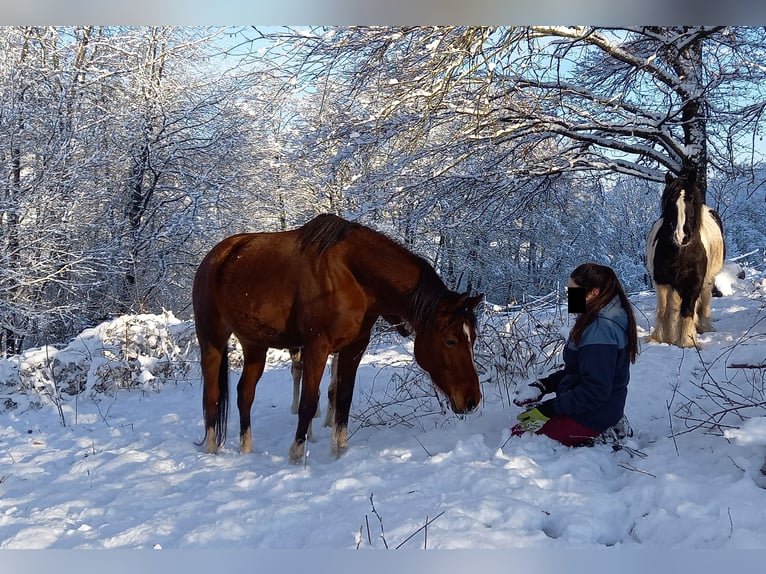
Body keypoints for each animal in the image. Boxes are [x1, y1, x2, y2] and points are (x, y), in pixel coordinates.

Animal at [192, 213, 483, 463]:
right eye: (450, 340)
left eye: (473, 339)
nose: (472, 401)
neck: (350, 275)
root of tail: (215, 257)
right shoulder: (317, 347)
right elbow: (309, 402)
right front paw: (296, 455)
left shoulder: (354, 348)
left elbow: (343, 397)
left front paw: (339, 451)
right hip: (211, 339)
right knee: (212, 394)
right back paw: (211, 449)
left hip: (254, 344)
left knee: (245, 393)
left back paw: (246, 449)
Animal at [646, 171, 725, 348]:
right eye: (670, 201)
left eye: (691, 199)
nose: (682, 236)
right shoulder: (662, 281)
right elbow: (663, 311)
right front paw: (661, 339)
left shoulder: (694, 283)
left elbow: (688, 311)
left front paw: (687, 342)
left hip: (707, 281)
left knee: (702, 304)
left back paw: (703, 327)